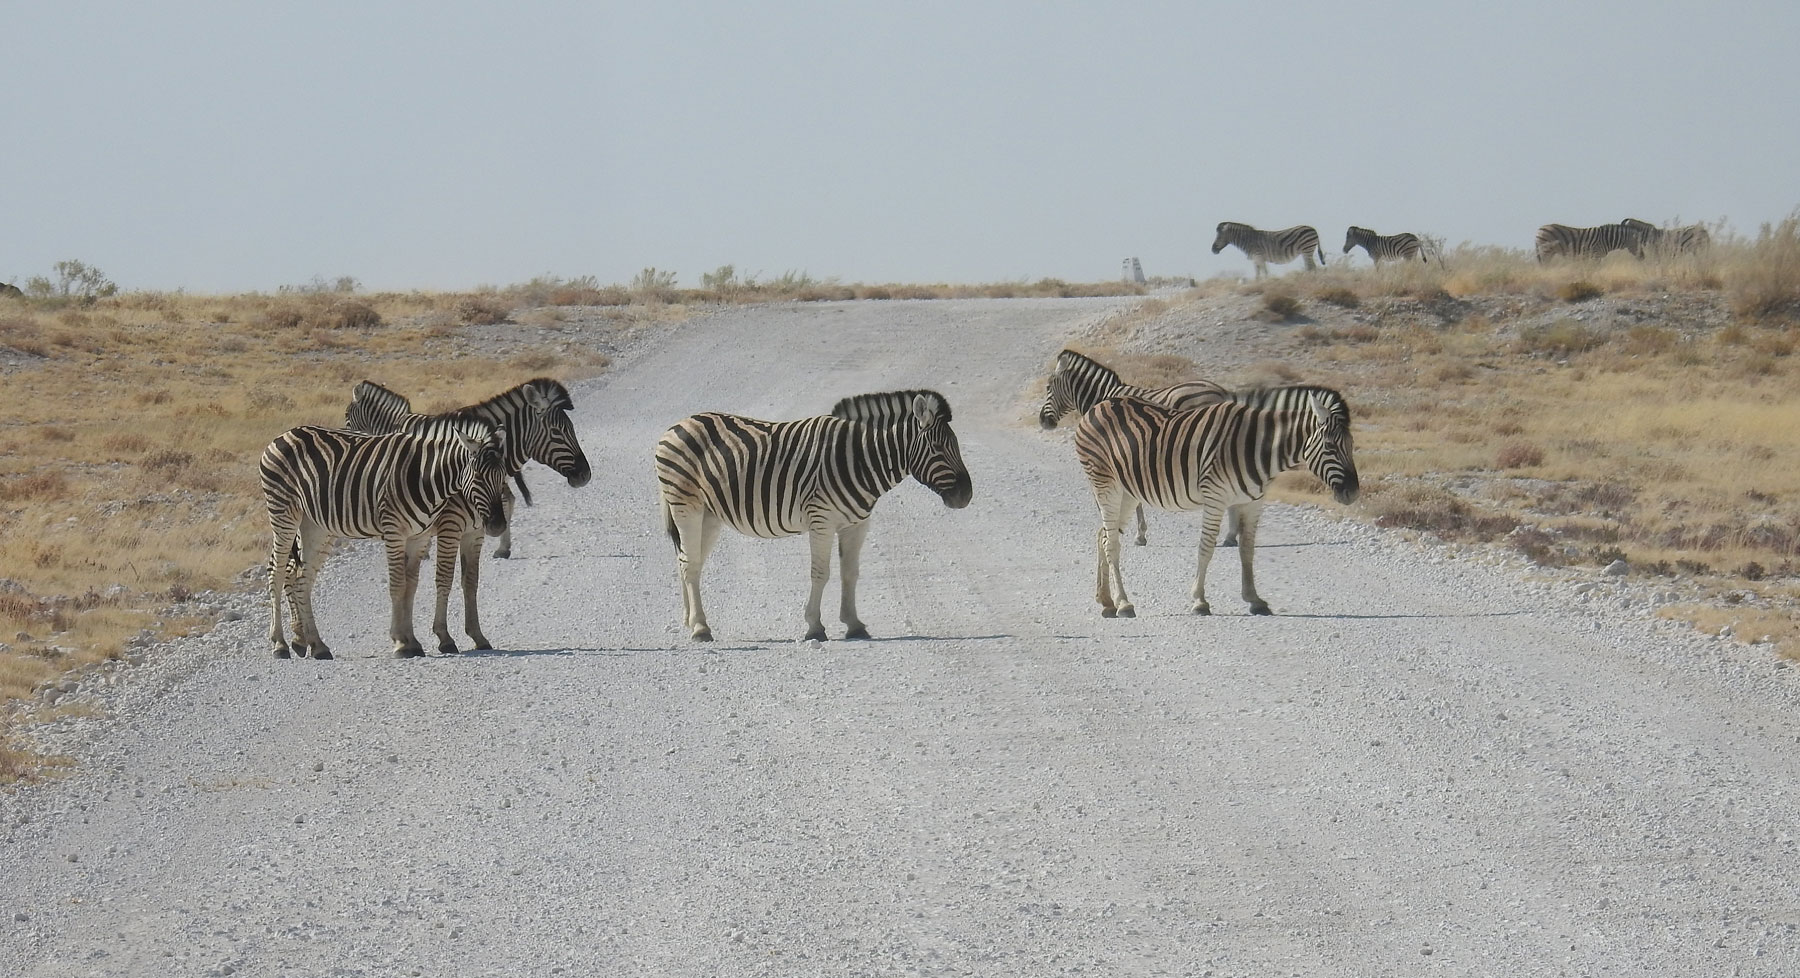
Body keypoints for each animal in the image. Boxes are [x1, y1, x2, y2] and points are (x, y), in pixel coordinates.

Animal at [257, 417, 507, 662]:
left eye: (502, 476)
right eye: (478, 477)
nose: (498, 525)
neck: (427, 477)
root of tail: (284, 434)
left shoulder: (427, 536)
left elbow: (419, 585)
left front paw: (415, 641)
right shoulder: (416, 530)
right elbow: (405, 584)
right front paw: (405, 642)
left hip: (317, 526)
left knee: (301, 577)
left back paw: (315, 644)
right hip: (283, 512)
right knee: (277, 571)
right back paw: (280, 644)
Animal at [347, 378, 601, 655]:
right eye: (558, 432)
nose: (585, 475)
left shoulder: (475, 529)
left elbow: (470, 581)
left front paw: (476, 635)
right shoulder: (450, 527)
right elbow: (445, 578)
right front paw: (444, 636)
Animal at [658, 390, 979, 641]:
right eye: (938, 447)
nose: (966, 496)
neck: (860, 458)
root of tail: (678, 424)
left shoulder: (857, 524)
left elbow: (850, 572)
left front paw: (854, 625)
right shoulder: (821, 519)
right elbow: (821, 573)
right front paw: (814, 627)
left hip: (710, 515)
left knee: (686, 561)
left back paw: (690, 621)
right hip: (685, 505)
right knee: (691, 565)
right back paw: (700, 629)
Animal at [1044, 349, 1238, 551]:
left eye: (1048, 388)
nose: (1043, 421)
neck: (1102, 398)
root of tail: (1222, 391)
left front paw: (1135, 534)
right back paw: (1230, 537)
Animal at [1072, 387, 1353, 615]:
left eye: (1351, 446)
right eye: (1330, 447)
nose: (1352, 493)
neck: (1256, 447)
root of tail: (1098, 406)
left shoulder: (1253, 502)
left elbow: (1247, 550)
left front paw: (1254, 599)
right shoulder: (1215, 497)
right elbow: (1206, 548)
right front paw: (1199, 601)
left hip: (1128, 491)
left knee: (1103, 535)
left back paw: (1106, 601)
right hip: (1106, 483)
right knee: (1112, 543)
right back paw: (1123, 603)